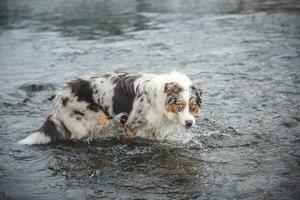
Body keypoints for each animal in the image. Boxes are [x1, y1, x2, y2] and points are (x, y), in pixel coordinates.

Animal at [18, 71, 202, 145]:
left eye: (193, 107)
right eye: (179, 105)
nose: (189, 123)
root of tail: (59, 96)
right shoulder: (132, 125)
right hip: (92, 119)